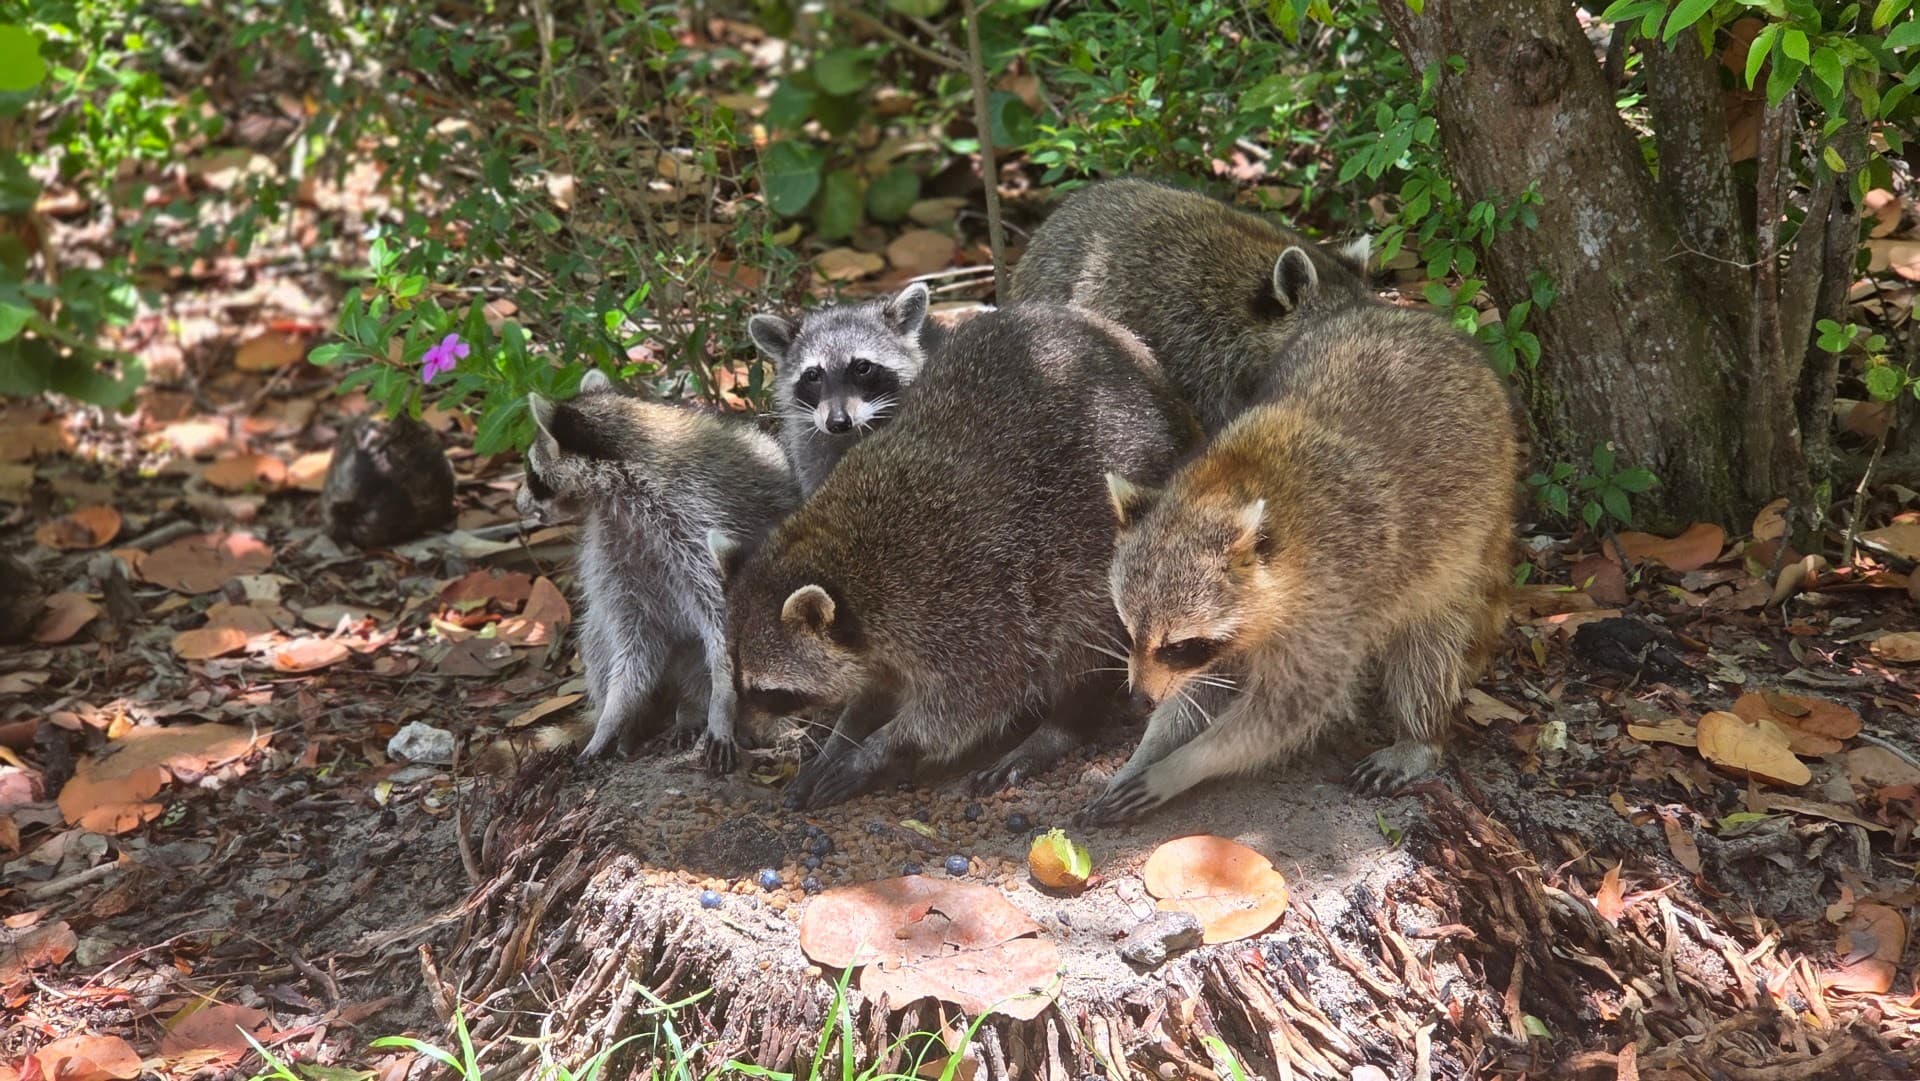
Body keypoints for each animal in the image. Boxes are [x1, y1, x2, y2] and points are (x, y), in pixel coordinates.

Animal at [517, 369, 800, 771]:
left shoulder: (695, 519)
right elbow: (633, 638)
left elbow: (724, 624)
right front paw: (615, 712)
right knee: (597, 633)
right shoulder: (613, 546)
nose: (518, 504)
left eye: (530, 471)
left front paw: (722, 704)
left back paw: (697, 709)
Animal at [713, 304, 1199, 810]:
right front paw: (845, 732)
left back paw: (1060, 725)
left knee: (1081, 630)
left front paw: (881, 745)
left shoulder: (965, 608)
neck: (844, 560)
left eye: (770, 692)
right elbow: (877, 685)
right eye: (734, 675)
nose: (744, 739)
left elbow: (972, 699)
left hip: (1095, 540)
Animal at [1081, 247, 1517, 824]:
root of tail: (1414, 320)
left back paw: (1418, 733)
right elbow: (1205, 692)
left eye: (1181, 646)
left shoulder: (1331, 604)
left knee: (1430, 643)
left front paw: (1181, 766)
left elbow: (1288, 708)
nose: (1137, 701)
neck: (1224, 489)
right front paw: (1149, 747)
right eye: (1130, 634)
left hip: (1465, 535)